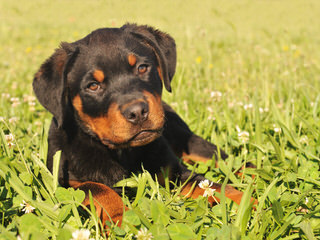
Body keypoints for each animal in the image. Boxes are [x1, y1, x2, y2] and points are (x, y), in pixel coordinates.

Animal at [33, 23, 245, 227]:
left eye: (142, 68)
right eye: (93, 86)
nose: (137, 112)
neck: (123, 153)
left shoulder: (175, 172)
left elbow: (214, 186)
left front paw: (248, 201)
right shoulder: (66, 181)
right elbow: (99, 189)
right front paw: (120, 219)